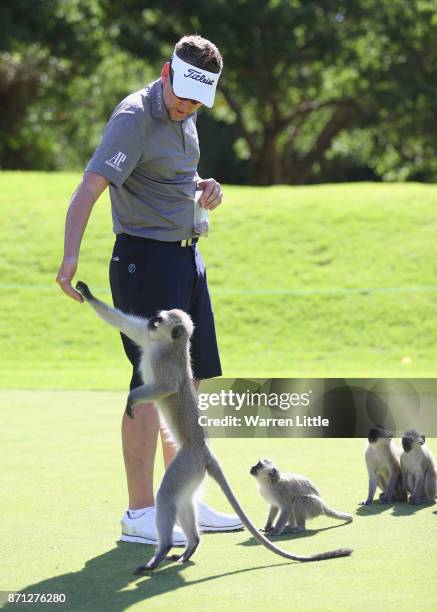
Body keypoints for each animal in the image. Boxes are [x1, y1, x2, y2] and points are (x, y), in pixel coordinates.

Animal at [77, 280, 350, 568]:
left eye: (160, 319)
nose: (152, 319)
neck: (166, 343)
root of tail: (204, 450)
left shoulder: (164, 361)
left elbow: (164, 387)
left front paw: (132, 398)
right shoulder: (148, 338)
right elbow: (124, 323)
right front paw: (85, 291)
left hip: (187, 463)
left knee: (168, 495)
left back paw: (163, 550)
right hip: (193, 471)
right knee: (184, 500)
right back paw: (191, 545)